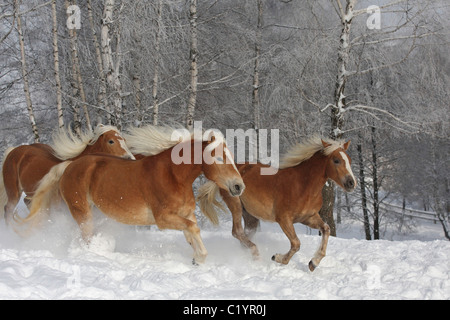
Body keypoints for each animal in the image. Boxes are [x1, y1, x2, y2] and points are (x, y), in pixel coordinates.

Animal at [0, 124, 134, 224]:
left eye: (124, 140)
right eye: (111, 141)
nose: (131, 159)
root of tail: (14, 150)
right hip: (14, 192)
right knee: (8, 209)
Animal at [23, 125, 244, 264]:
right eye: (218, 157)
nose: (239, 186)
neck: (173, 176)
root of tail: (70, 165)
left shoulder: (185, 214)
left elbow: (191, 232)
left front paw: (197, 259)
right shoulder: (163, 219)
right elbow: (193, 228)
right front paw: (199, 258)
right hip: (81, 211)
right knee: (85, 236)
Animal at [197, 136, 356, 272]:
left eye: (349, 160)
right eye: (336, 160)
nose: (351, 183)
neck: (303, 185)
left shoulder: (308, 217)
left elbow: (326, 229)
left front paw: (313, 263)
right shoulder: (284, 219)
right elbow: (296, 243)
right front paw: (277, 258)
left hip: (250, 215)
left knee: (245, 235)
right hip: (235, 204)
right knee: (237, 232)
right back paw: (257, 256)